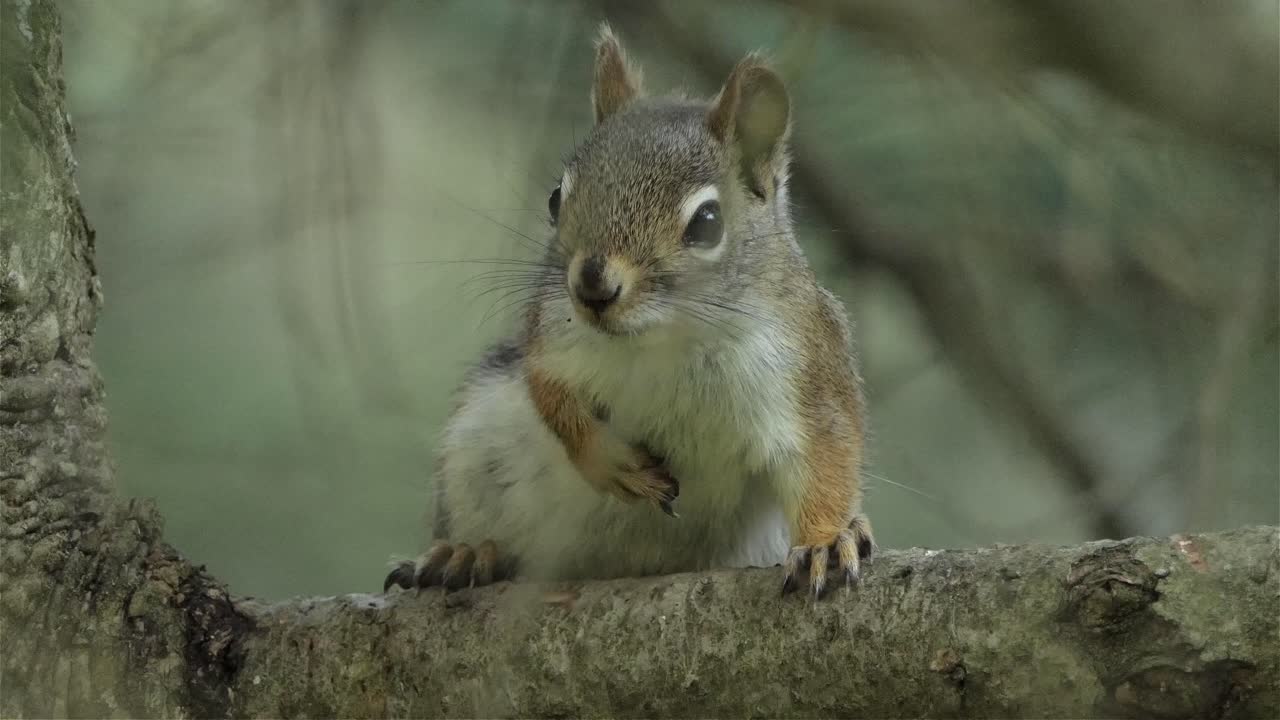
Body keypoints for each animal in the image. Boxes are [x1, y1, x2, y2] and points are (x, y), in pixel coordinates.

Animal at [385, 24, 874, 599]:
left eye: (708, 222)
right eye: (556, 199)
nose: (593, 286)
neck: (664, 336)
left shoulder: (809, 369)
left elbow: (827, 460)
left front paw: (825, 540)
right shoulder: (550, 335)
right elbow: (549, 394)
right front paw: (611, 463)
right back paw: (466, 553)